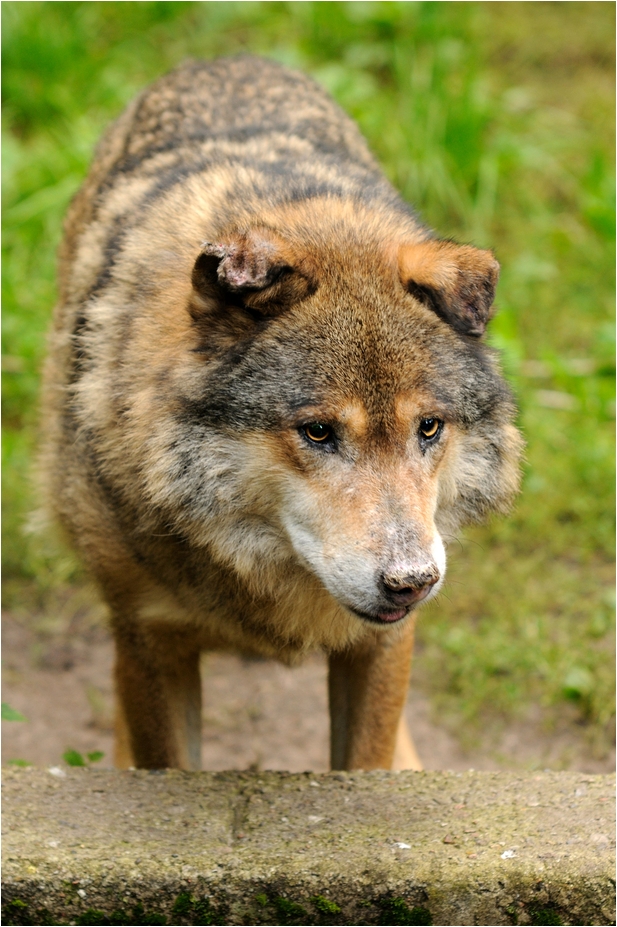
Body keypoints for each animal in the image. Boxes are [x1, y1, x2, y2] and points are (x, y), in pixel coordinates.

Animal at [41, 56, 522, 772]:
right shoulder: (151, 637)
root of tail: (228, 59)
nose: (411, 582)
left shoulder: (379, 645)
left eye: (429, 428)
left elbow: (367, 758)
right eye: (318, 432)